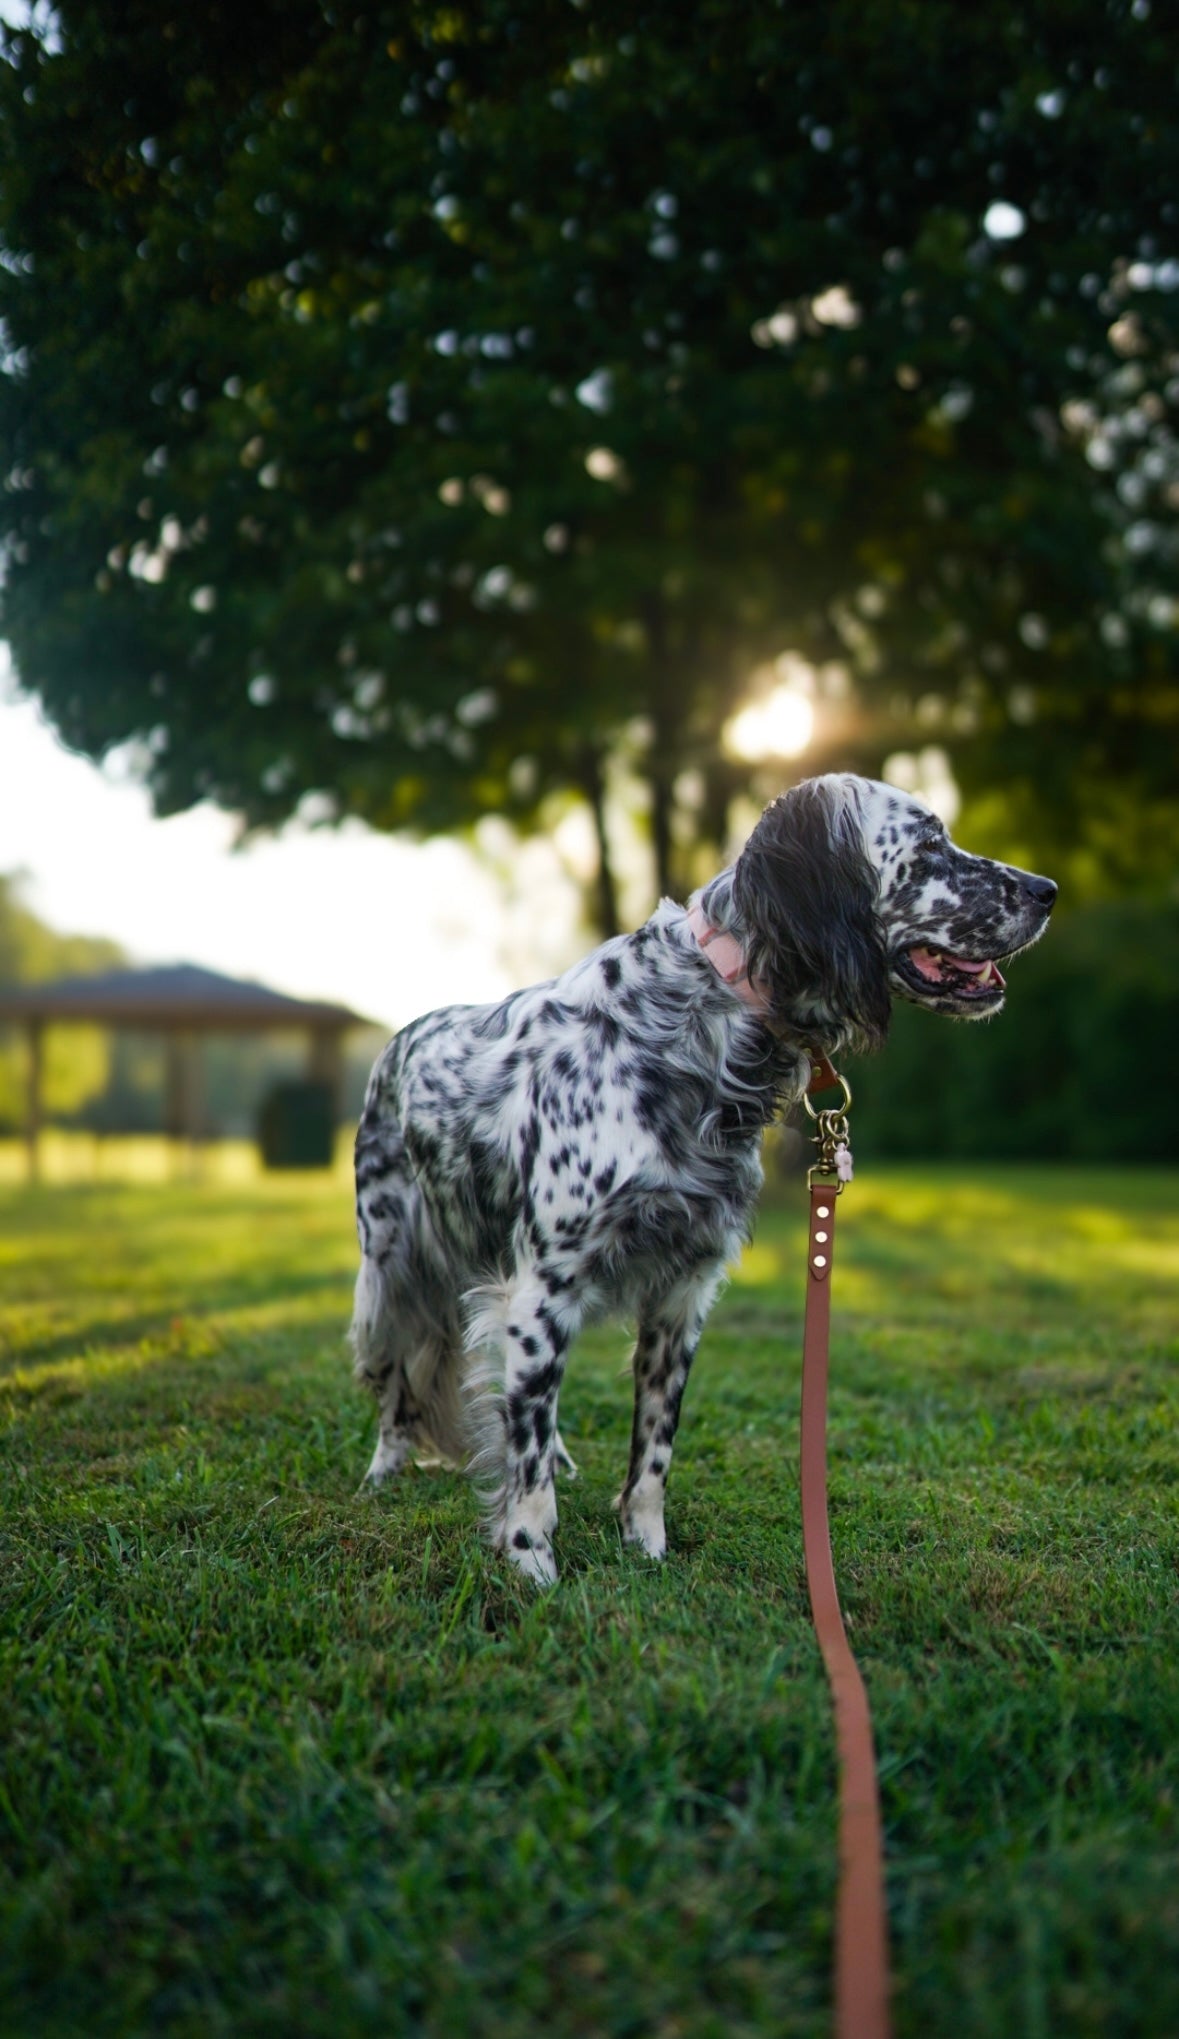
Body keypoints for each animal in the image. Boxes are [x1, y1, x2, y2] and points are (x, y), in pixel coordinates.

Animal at [344, 770, 1052, 1582]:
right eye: (930, 842)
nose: (1048, 890)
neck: (700, 1027)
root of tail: (398, 1039)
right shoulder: (545, 1285)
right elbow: (523, 1458)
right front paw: (530, 1561)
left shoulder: (683, 1292)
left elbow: (652, 1448)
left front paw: (646, 1545)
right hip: (395, 1268)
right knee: (401, 1380)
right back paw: (383, 1475)